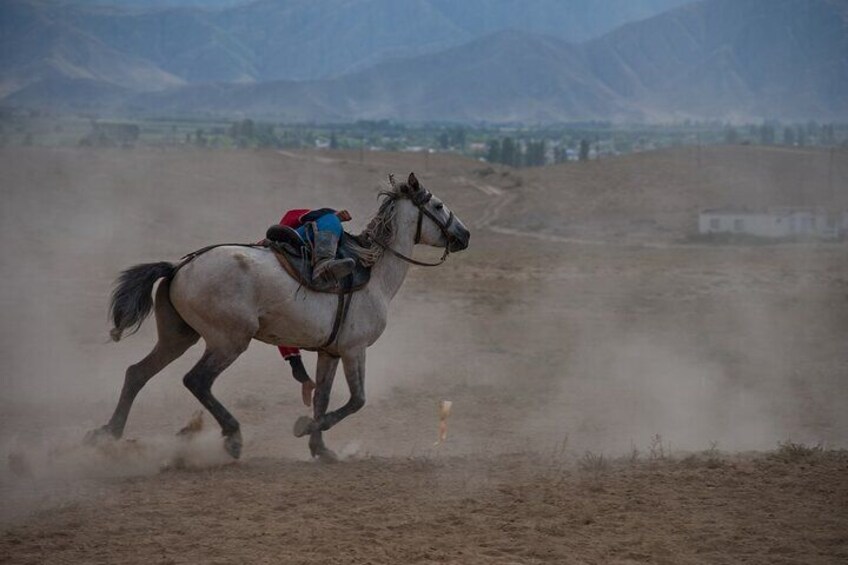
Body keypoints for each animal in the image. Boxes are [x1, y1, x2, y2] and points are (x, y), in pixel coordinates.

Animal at [88, 172, 470, 458]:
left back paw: (108, 433)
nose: (465, 235)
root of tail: (179, 267)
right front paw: (307, 430)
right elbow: (356, 401)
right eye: (438, 205)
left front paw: (321, 449)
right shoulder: (354, 350)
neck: (372, 273)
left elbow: (322, 398)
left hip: (178, 337)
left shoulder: (330, 352)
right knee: (196, 381)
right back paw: (232, 436)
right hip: (228, 341)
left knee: (137, 373)